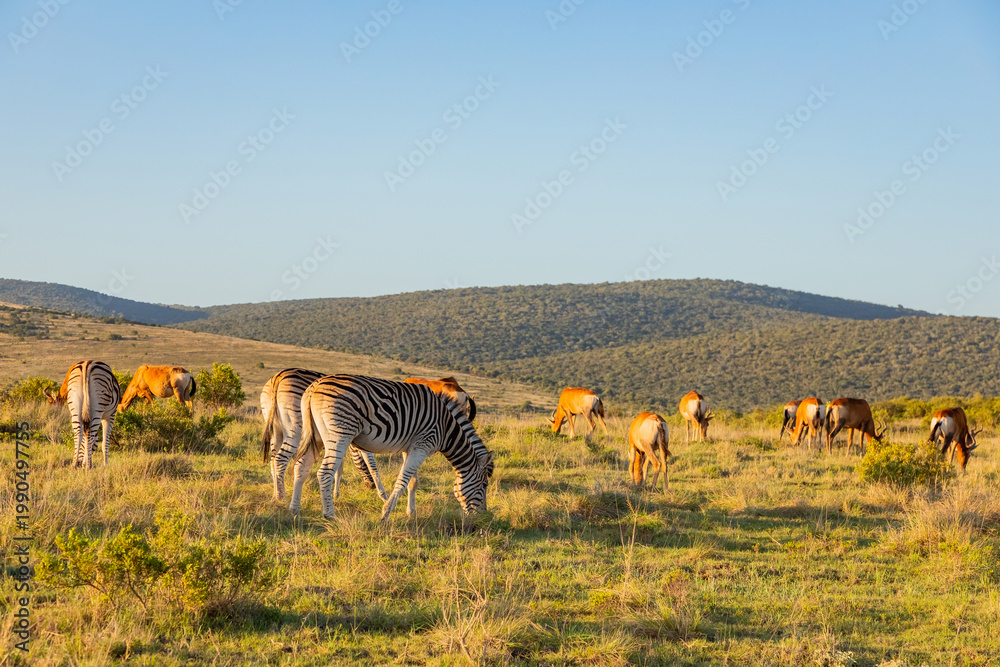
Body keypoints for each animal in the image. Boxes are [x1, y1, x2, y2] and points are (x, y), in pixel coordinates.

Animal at [260, 368, 387, 515]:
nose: (370, 486)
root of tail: (278, 376)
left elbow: (339, 467)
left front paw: (335, 494)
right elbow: (371, 464)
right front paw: (383, 495)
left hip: (276, 430)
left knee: (273, 460)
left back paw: (275, 495)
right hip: (294, 427)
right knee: (280, 459)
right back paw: (282, 497)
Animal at [294, 374, 494, 522]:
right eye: (484, 485)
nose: (483, 517)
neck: (446, 427)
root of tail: (315, 385)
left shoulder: (411, 447)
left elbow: (413, 482)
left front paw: (411, 512)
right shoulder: (423, 445)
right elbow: (402, 481)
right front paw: (385, 515)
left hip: (317, 436)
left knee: (301, 466)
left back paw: (295, 510)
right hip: (340, 434)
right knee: (324, 473)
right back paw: (330, 515)